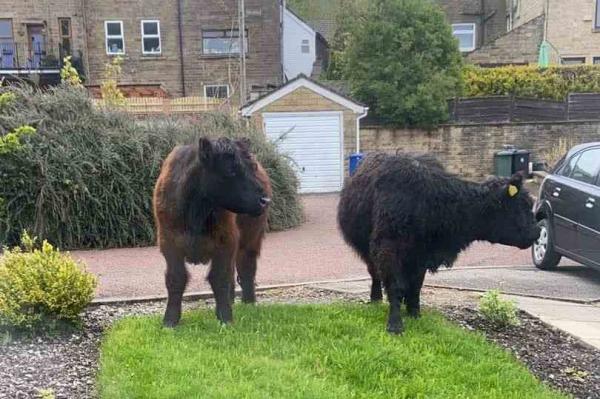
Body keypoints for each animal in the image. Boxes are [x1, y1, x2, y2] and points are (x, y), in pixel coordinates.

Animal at [154, 138, 270, 328]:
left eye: (252, 167)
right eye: (230, 169)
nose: (265, 200)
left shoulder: (225, 242)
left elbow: (219, 278)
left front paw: (225, 319)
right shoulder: (169, 244)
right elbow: (176, 279)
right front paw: (170, 321)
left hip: (251, 239)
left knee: (246, 268)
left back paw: (249, 303)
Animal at [340, 153, 540, 334]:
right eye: (522, 206)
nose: (537, 232)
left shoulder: (421, 255)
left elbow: (416, 285)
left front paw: (415, 313)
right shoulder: (388, 249)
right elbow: (396, 285)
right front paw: (395, 324)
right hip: (366, 249)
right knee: (375, 273)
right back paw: (375, 299)